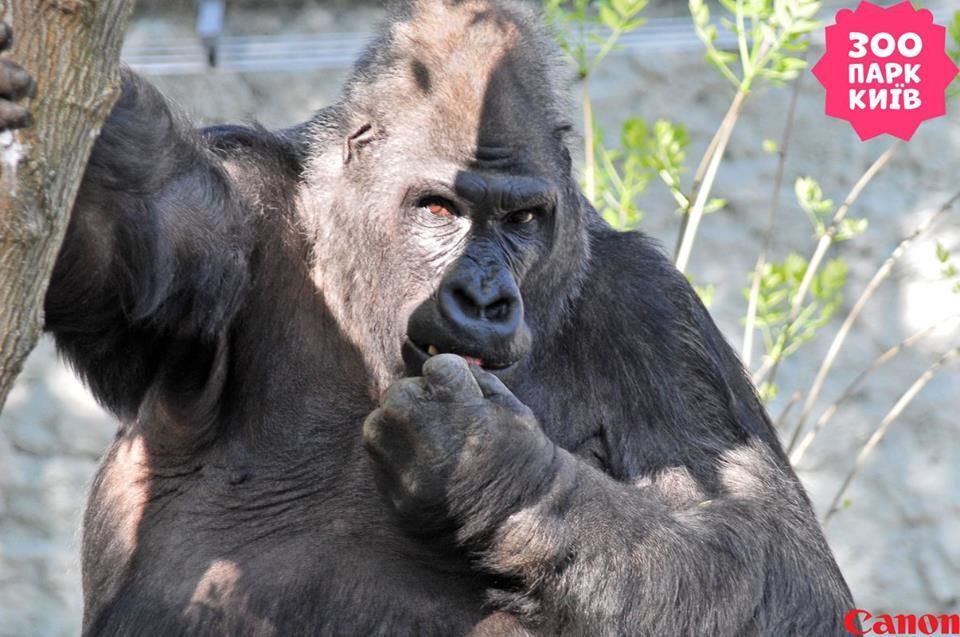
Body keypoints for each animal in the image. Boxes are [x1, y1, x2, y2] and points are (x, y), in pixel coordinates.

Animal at [0, 0, 856, 632]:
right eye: (440, 208)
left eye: (520, 220)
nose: (484, 298)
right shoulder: (224, 207)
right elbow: (102, 216)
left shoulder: (657, 315)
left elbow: (787, 564)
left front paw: (487, 463)